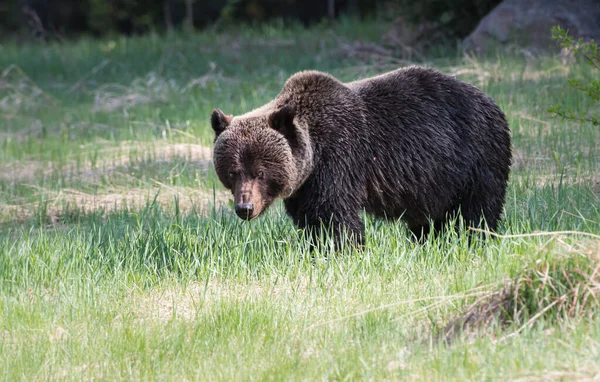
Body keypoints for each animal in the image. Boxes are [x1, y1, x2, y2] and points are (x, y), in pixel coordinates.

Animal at [210, 65, 510, 248]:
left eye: (260, 172)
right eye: (233, 172)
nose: (245, 208)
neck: (313, 151)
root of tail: (491, 101)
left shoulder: (339, 158)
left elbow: (333, 215)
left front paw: (339, 249)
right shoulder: (304, 184)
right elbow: (309, 217)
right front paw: (315, 246)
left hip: (476, 157)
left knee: (477, 211)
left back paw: (472, 240)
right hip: (436, 181)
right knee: (428, 219)